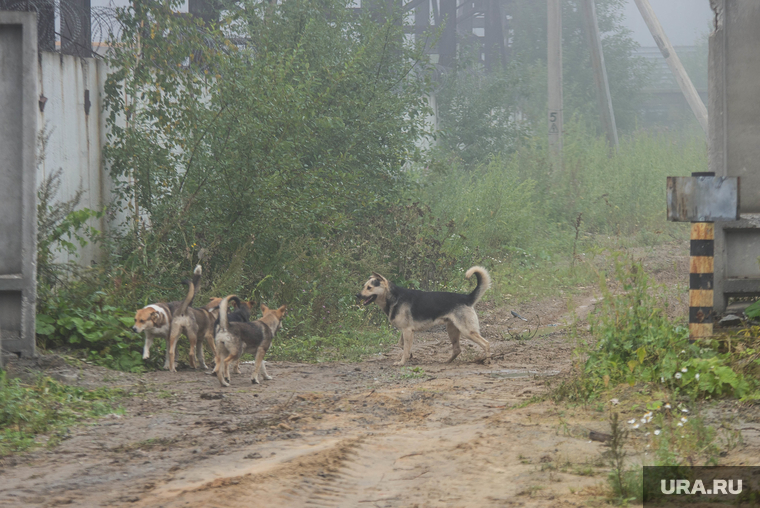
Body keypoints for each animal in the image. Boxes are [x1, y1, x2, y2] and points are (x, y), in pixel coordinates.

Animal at [358, 266, 492, 366]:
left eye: (369, 287)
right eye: (364, 286)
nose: (357, 295)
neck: (394, 297)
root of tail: (467, 298)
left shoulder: (407, 330)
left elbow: (405, 349)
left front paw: (401, 362)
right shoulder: (405, 331)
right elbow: (403, 345)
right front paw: (410, 355)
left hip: (467, 331)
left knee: (486, 343)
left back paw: (487, 361)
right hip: (452, 330)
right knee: (457, 349)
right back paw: (447, 361)